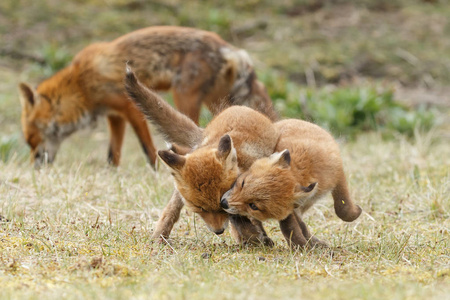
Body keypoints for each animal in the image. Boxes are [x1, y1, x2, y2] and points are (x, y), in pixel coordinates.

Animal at [17, 25, 276, 169]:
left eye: (31, 140)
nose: (35, 168)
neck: (81, 84)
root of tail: (230, 48)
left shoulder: (130, 108)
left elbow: (147, 148)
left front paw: (155, 171)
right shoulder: (114, 116)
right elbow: (113, 154)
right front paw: (111, 173)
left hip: (184, 96)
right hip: (219, 102)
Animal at [124, 68, 278, 246]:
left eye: (221, 206)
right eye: (200, 208)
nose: (218, 232)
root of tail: (240, 107)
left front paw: (255, 237)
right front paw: (253, 237)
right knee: (171, 209)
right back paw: (159, 236)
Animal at [220, 119, 364, 248]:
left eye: (253, 206)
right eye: (243, 183)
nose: (223, 203)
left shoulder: (336, 174)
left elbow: (342, 207)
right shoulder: (293, 209)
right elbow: (290, 226)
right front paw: (301, 245)